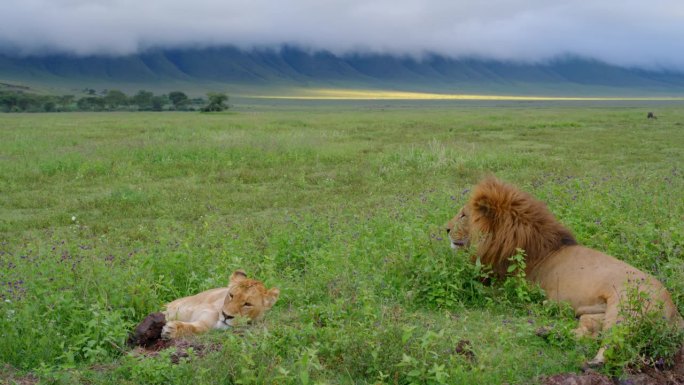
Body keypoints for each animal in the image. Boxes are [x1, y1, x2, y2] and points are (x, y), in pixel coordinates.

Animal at [446, 176, 680, 364]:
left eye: (463, 215)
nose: (446, 229)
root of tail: (675, 312)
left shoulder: (509, 286)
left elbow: (481, 291)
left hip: (624, 309)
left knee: (613, 344)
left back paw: (591, 362)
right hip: (596, 314)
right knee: (589, 333)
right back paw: (547, 332)